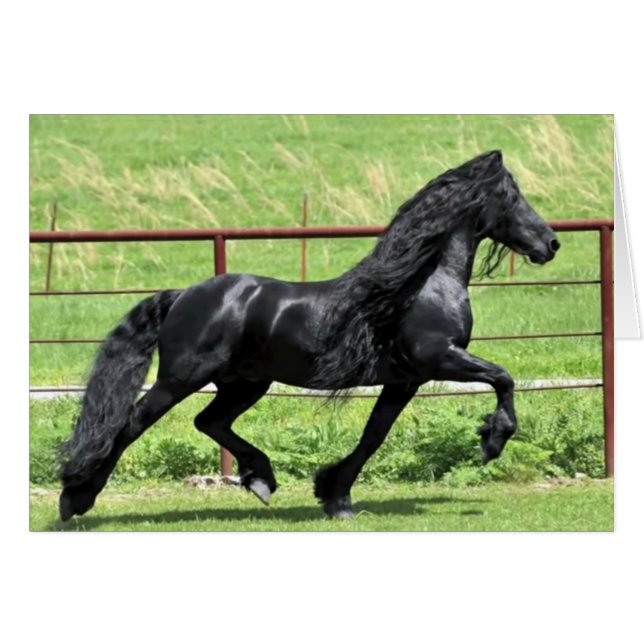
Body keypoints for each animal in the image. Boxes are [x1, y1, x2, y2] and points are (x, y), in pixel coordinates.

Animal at [58, 150, 560, 522]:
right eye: (512, 196)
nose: (551, 244)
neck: (421, 285)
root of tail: (183, 296)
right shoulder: (438, 357)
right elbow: (503, 378)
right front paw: (492, 441)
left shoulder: (404, 380)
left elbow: (374, 435)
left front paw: (335, 496)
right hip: (181, 379)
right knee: (130, 425)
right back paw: (75, 499)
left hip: (246, 383)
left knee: (210, 421)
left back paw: (261, 479)